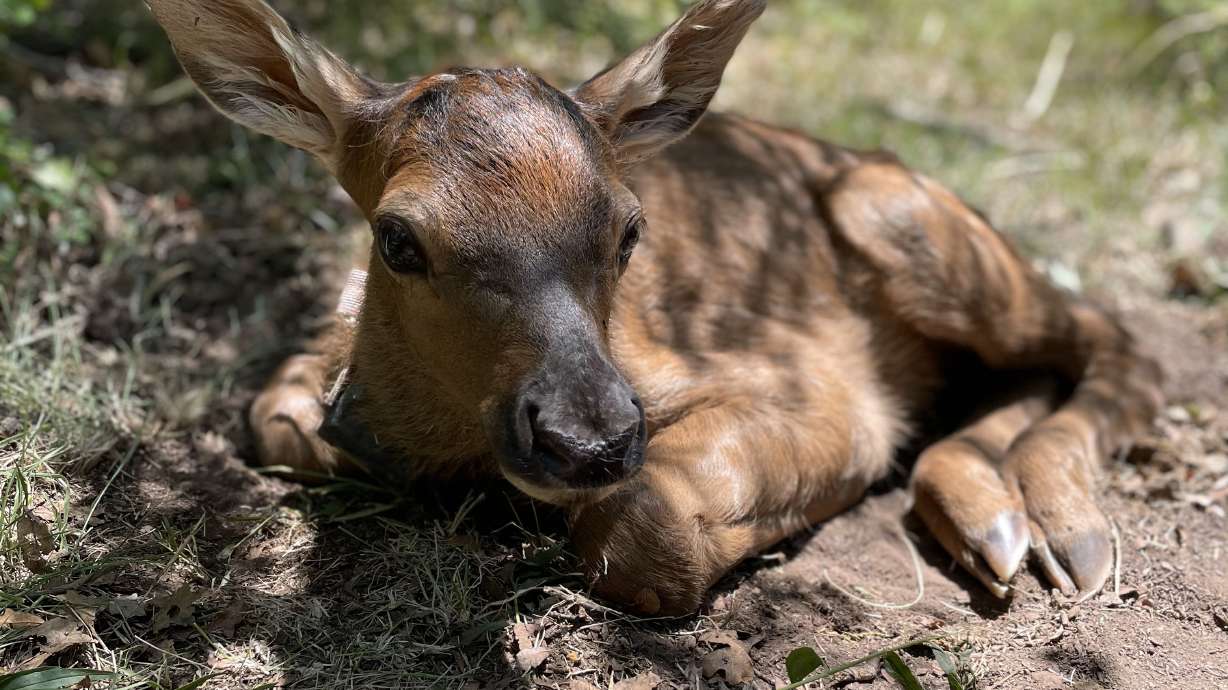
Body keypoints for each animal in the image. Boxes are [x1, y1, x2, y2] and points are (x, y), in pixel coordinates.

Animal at [148, 0, 1163, 615]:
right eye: (398, 238)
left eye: (630, 230)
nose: (586, 438)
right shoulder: (309, 363)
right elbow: (274, 417)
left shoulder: (823, 391)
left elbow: (645, 529)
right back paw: (998, 518)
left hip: (904, 218)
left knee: (1116, 337)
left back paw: (1060, 529)